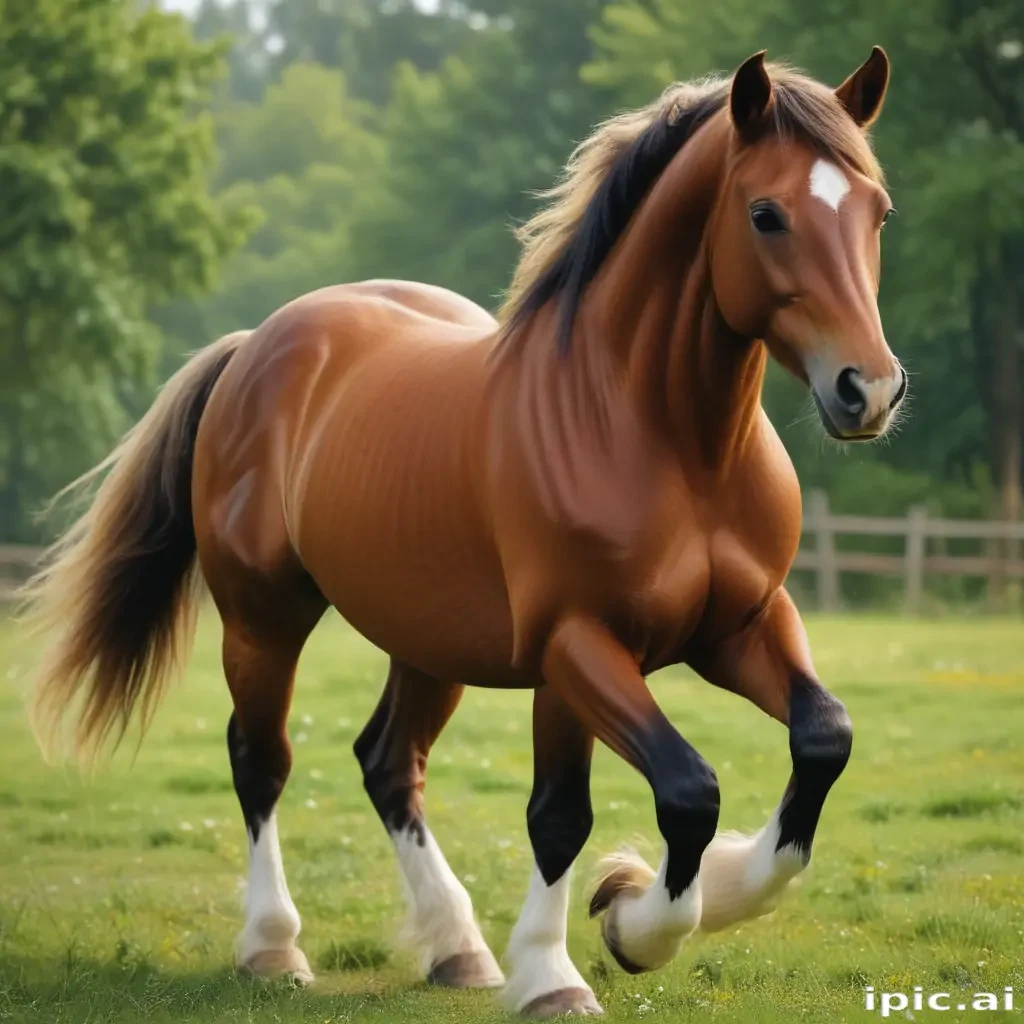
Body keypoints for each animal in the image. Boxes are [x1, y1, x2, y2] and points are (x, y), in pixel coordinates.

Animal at [25, 48, 904, 1017]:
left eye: (877, 209)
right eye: (766, 213)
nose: (868, 389)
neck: (668, 442)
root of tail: (259, 343)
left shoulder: (741, 627)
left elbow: (821, 740)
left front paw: (667, 895)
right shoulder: (577, 648)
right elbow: (640, 799)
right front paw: (598, 945)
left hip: (428, 643)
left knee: (387, 763)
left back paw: (457, 948)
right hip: (263, 619)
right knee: (262, 761)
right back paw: (274, 947)